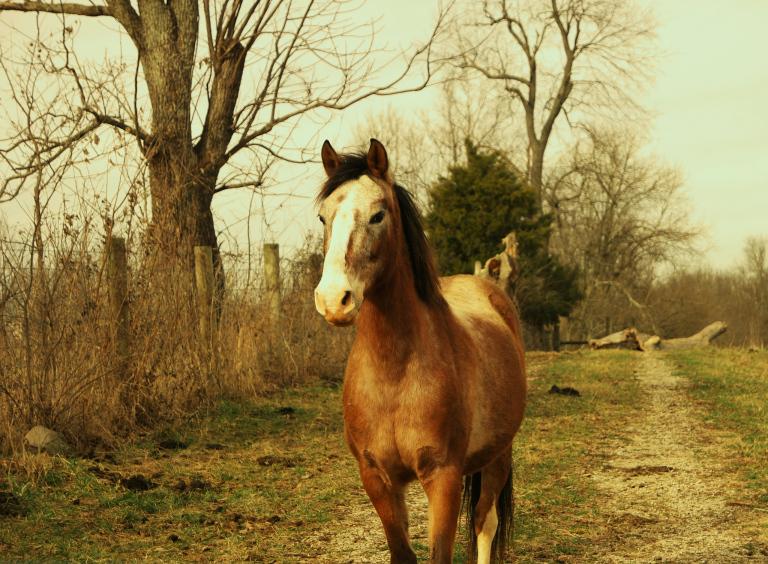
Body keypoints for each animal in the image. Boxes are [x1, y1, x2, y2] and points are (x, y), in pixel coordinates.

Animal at [314, 138, 528, 564]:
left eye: (378, 215)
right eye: (323, 217)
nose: (334, 300)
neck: (395, 374)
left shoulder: (442, 476)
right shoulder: (377, 478)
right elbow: (403, 553)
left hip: (498, 454)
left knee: (485, 522)